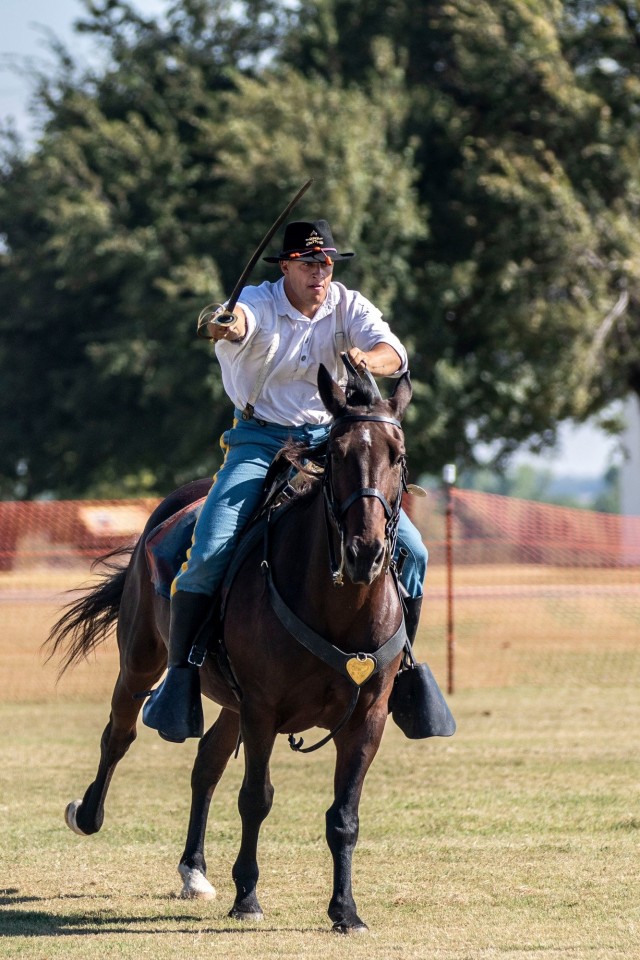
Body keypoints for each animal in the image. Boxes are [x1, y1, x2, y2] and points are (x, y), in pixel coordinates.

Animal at [46, 364, 416, 932]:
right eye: (336, 452)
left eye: (397, 454)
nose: (365, 552)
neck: (338, 607)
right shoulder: (263, 709)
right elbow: (256, 799)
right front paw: (248, 897)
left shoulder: (366, 716)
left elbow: (344, 816)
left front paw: (346, 910)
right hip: (142, 662)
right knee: (119, 735)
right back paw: (88, 814)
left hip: (228, 702)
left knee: (207, 764)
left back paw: (194, 870)